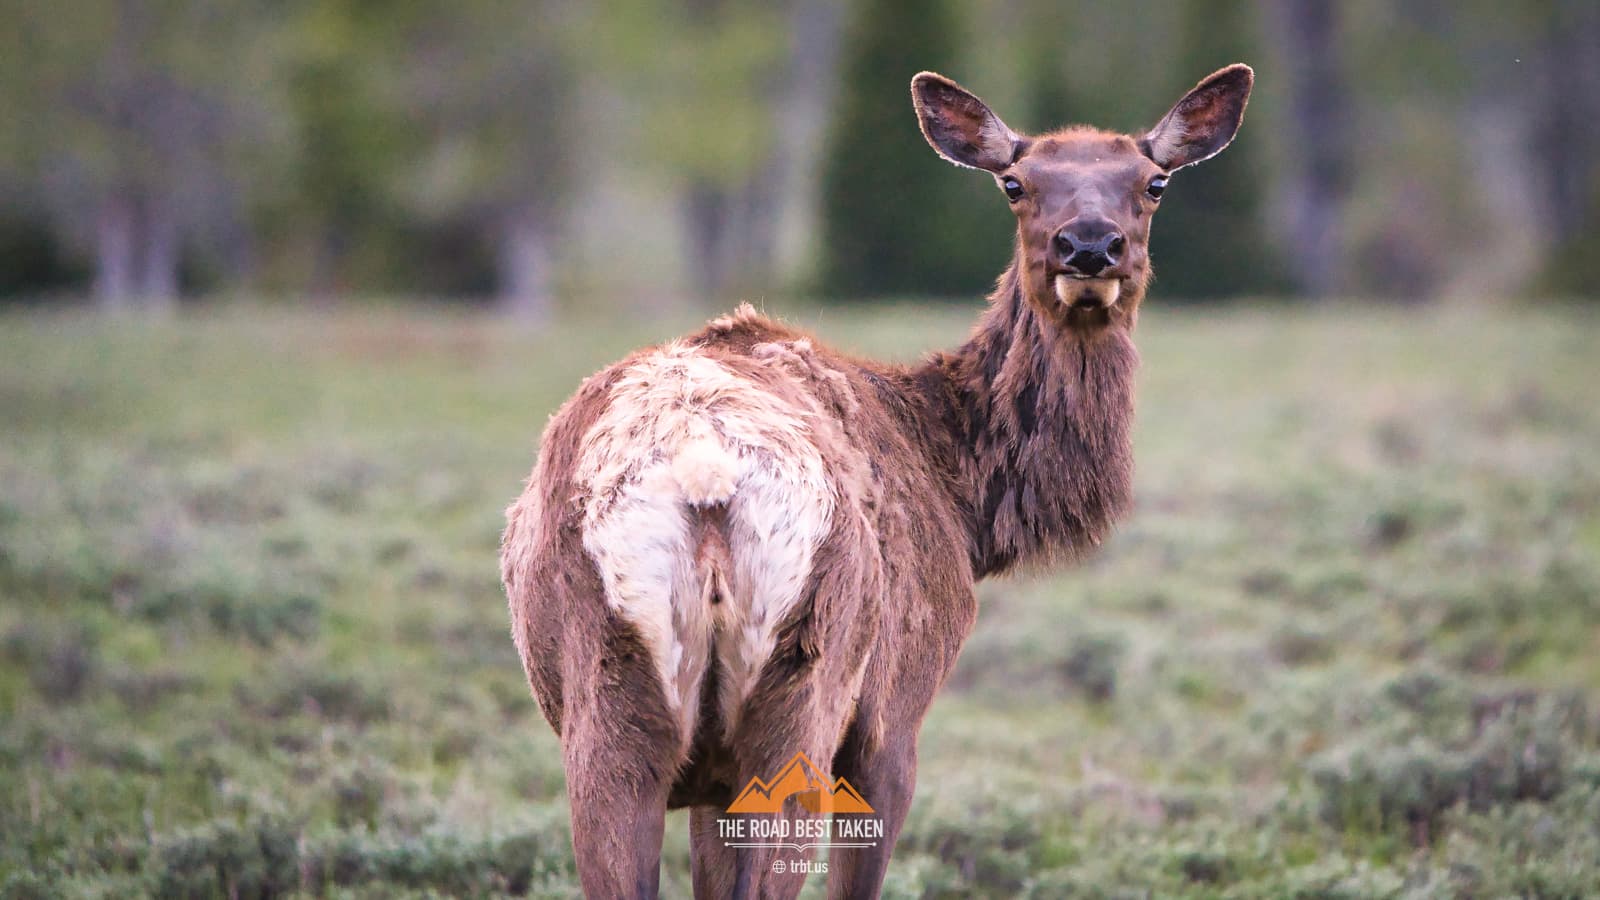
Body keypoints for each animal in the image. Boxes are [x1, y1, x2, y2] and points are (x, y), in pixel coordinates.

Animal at [501, 63, 1253, 899]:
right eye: (1015, 183)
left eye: (1153, 183)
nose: (1089, 245)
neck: (962, 498)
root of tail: (703, 473)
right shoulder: (898, 703)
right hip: (805, 693)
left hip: (605, 713)